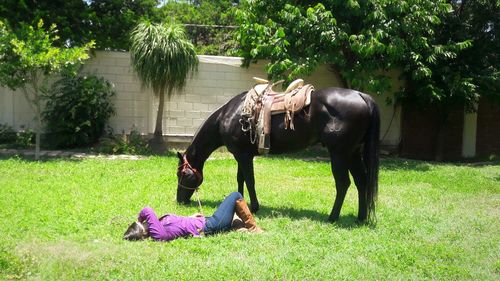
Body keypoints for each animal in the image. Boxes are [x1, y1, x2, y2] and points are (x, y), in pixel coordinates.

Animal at [176, 86, 378, 222]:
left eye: (183, 174)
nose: (179, 201)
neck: (229, 116)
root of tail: (362, 96)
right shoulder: (242, 155)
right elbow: (241, 179)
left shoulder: (243, 156)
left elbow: (249, 180)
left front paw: (254, 207)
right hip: (353, 153)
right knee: (361, 181)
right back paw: (360, 217)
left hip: (339, 154)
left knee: (343, 183)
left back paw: (332, 217)